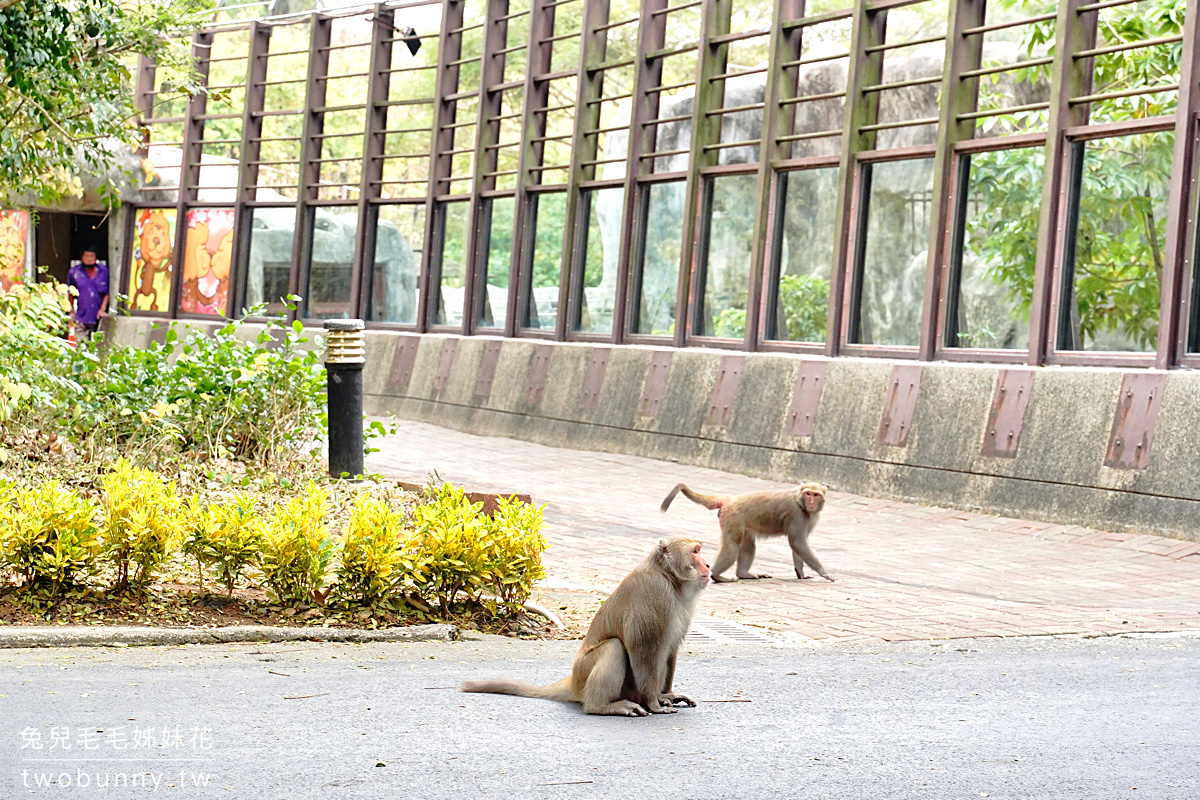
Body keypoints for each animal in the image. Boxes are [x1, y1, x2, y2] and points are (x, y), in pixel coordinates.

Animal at [456, 537, 700, 719]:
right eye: (696, 552)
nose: (706, 565)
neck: (668, 578)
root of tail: (573, 682)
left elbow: (670, 649)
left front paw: (665, 695)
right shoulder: (655, 592)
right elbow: (644, 648)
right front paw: (654, 702)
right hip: (584, 671)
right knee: (614, 647)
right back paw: (601, 706)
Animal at [657, 479, 835, 585]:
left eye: (816, 495)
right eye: (808, 493)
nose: (811, 502)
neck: (800, 501)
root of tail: (729, 499)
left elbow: (797, 545)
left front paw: (802, 574)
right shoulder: (798, 515)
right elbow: (797, 542)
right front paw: (824, 572)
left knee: (748, 544)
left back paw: (743, 574)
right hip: (733, 518)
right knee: (732, 547)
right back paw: (718, 576)